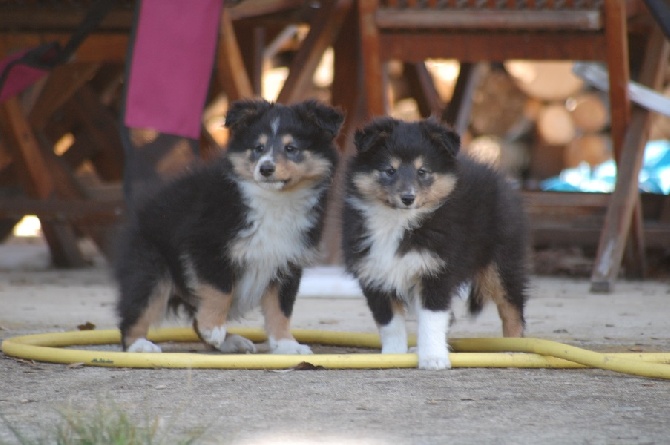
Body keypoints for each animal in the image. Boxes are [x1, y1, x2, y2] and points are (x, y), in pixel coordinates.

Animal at [115, 98, 344, 354]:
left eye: (291, 148)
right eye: (258, 148)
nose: (265, 168)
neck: (274, 200)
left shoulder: (287, 262)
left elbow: (281, 309)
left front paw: (287, 344)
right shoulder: (207, 246)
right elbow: (220, 290)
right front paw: (213, 327)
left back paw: (230, 341)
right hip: (151, 268)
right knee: (136, 311)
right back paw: (140, 345)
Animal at [346, 116, 532, 370]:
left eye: (422, 171)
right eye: (390, 170)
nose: (408, 198)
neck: (399, 222)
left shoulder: (437, 271)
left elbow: (432, 319)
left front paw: (433, 358)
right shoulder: (375, 276)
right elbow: (390, 324)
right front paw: (392, 355)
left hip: (502, 262)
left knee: (512, 308)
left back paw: (513, 351)